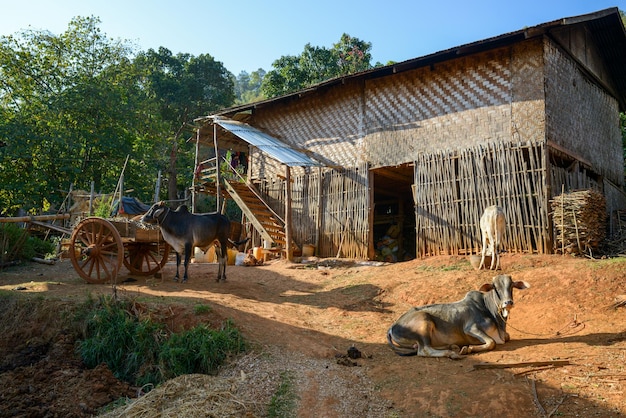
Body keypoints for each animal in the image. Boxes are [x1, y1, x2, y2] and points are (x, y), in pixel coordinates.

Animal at [386, 274, 528, 360]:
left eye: (511, 286)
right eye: (496, 288)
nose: (508, 302)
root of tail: (393, 326)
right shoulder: (470, 328)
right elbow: (492, 342)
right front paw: (468, 349)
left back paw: (452, 347)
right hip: (424, 323)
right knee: (423, 350)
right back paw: (452, 353)